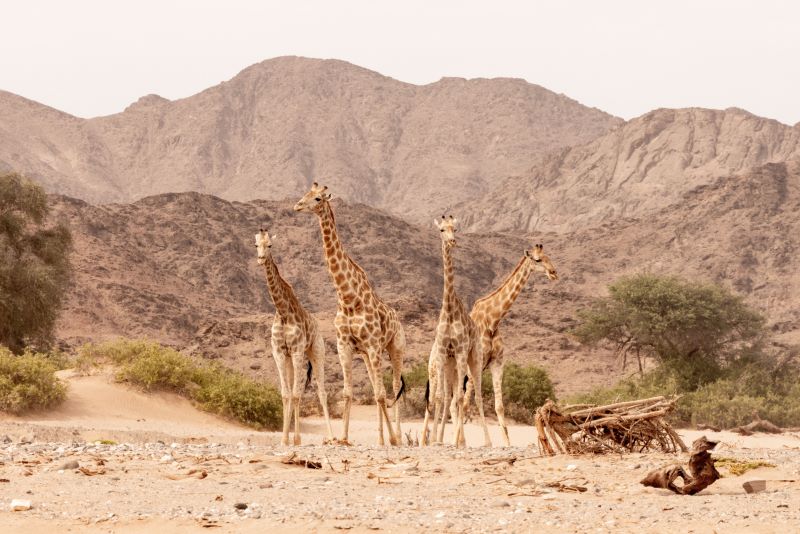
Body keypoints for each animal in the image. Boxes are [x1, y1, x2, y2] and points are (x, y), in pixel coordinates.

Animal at [255, 228, 334, 445]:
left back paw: (333, 437)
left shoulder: (298, 351)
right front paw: (285, 439)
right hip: (291, 359)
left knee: (322, 392)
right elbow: (286, 394)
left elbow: (297, 395)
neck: (282, 312)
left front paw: (295, 439)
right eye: (256, 245)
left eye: (270, 245)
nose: (260, 259)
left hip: (316, 352)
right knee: (293, 391)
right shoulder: (279, 352)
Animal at [293, 183, 405, 446]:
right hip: (366, 355)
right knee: (377, 388)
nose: (297, 206)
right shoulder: (345, 345)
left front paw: (392, 439)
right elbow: (348, 392)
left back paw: (395, 437)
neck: (348, 298)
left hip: (395, 347)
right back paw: (381, 438)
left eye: (317, 198)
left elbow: (381, 393)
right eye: (305, 194)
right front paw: (343, 438)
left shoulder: (373, 344)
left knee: (394, 386)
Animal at [421, 215, 491, 447]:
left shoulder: (460, 351)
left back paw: (485, 441)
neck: (450, 310)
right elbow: (441, 397)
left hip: (473, 358)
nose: (452, 241)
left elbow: (460, 397)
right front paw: (436, 440)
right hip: (450, 365)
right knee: (449, 397)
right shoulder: (444, 353)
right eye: (442, 230)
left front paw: (460, 441)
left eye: (456, 228)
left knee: (475, 396)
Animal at [467, 244, 558, 446]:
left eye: (549, 256)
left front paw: (507, 443)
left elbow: (499, 405)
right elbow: (477, 399)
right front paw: (486, 442)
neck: (492, 320)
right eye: (538, 259)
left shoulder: (497, 362)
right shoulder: (478, 362)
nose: (554, 273)